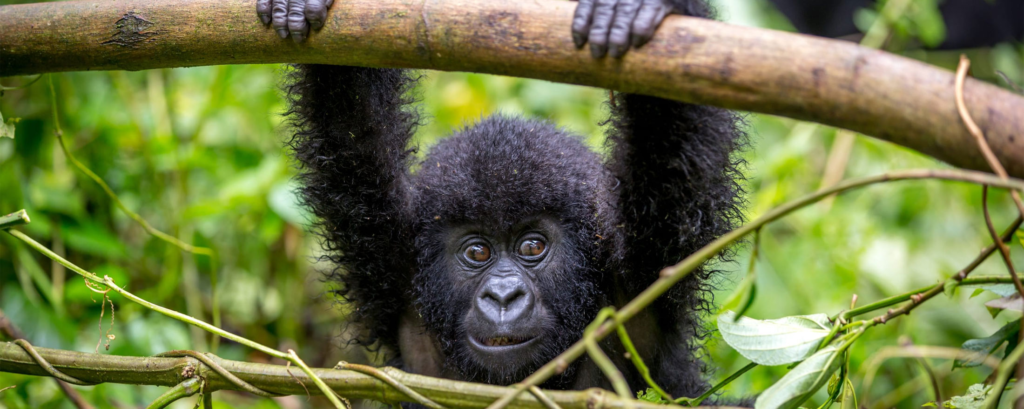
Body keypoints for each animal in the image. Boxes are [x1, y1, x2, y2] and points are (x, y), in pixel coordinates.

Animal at [257, 0, 746, 398]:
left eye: (532, 246)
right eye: (477, 251)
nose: (504, 296)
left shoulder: (645, 268)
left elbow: (673, 142)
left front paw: (645, 7)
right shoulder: (390, 258)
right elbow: (352, 131)